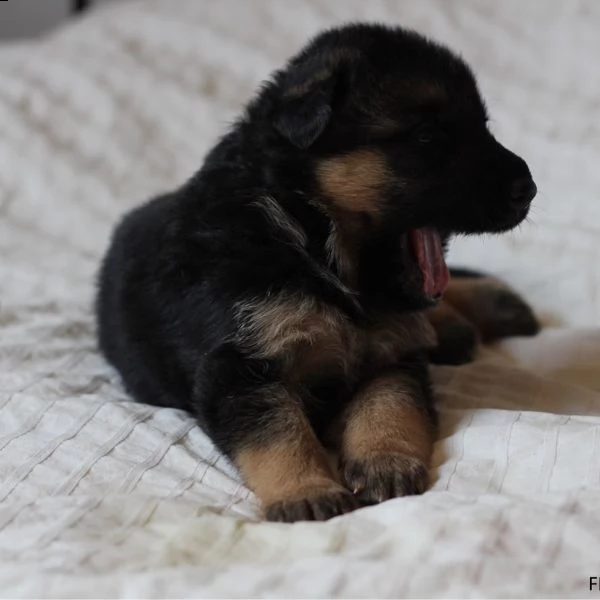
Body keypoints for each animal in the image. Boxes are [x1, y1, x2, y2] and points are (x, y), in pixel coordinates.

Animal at [97, 22, 540, 520]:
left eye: (484, 127)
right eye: (427, 135)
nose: (529, 189)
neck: (306, 238)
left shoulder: (390, 353)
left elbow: (390, 405)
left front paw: (386, 460)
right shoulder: (236, 367)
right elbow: (277, 432)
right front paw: (306, 491)